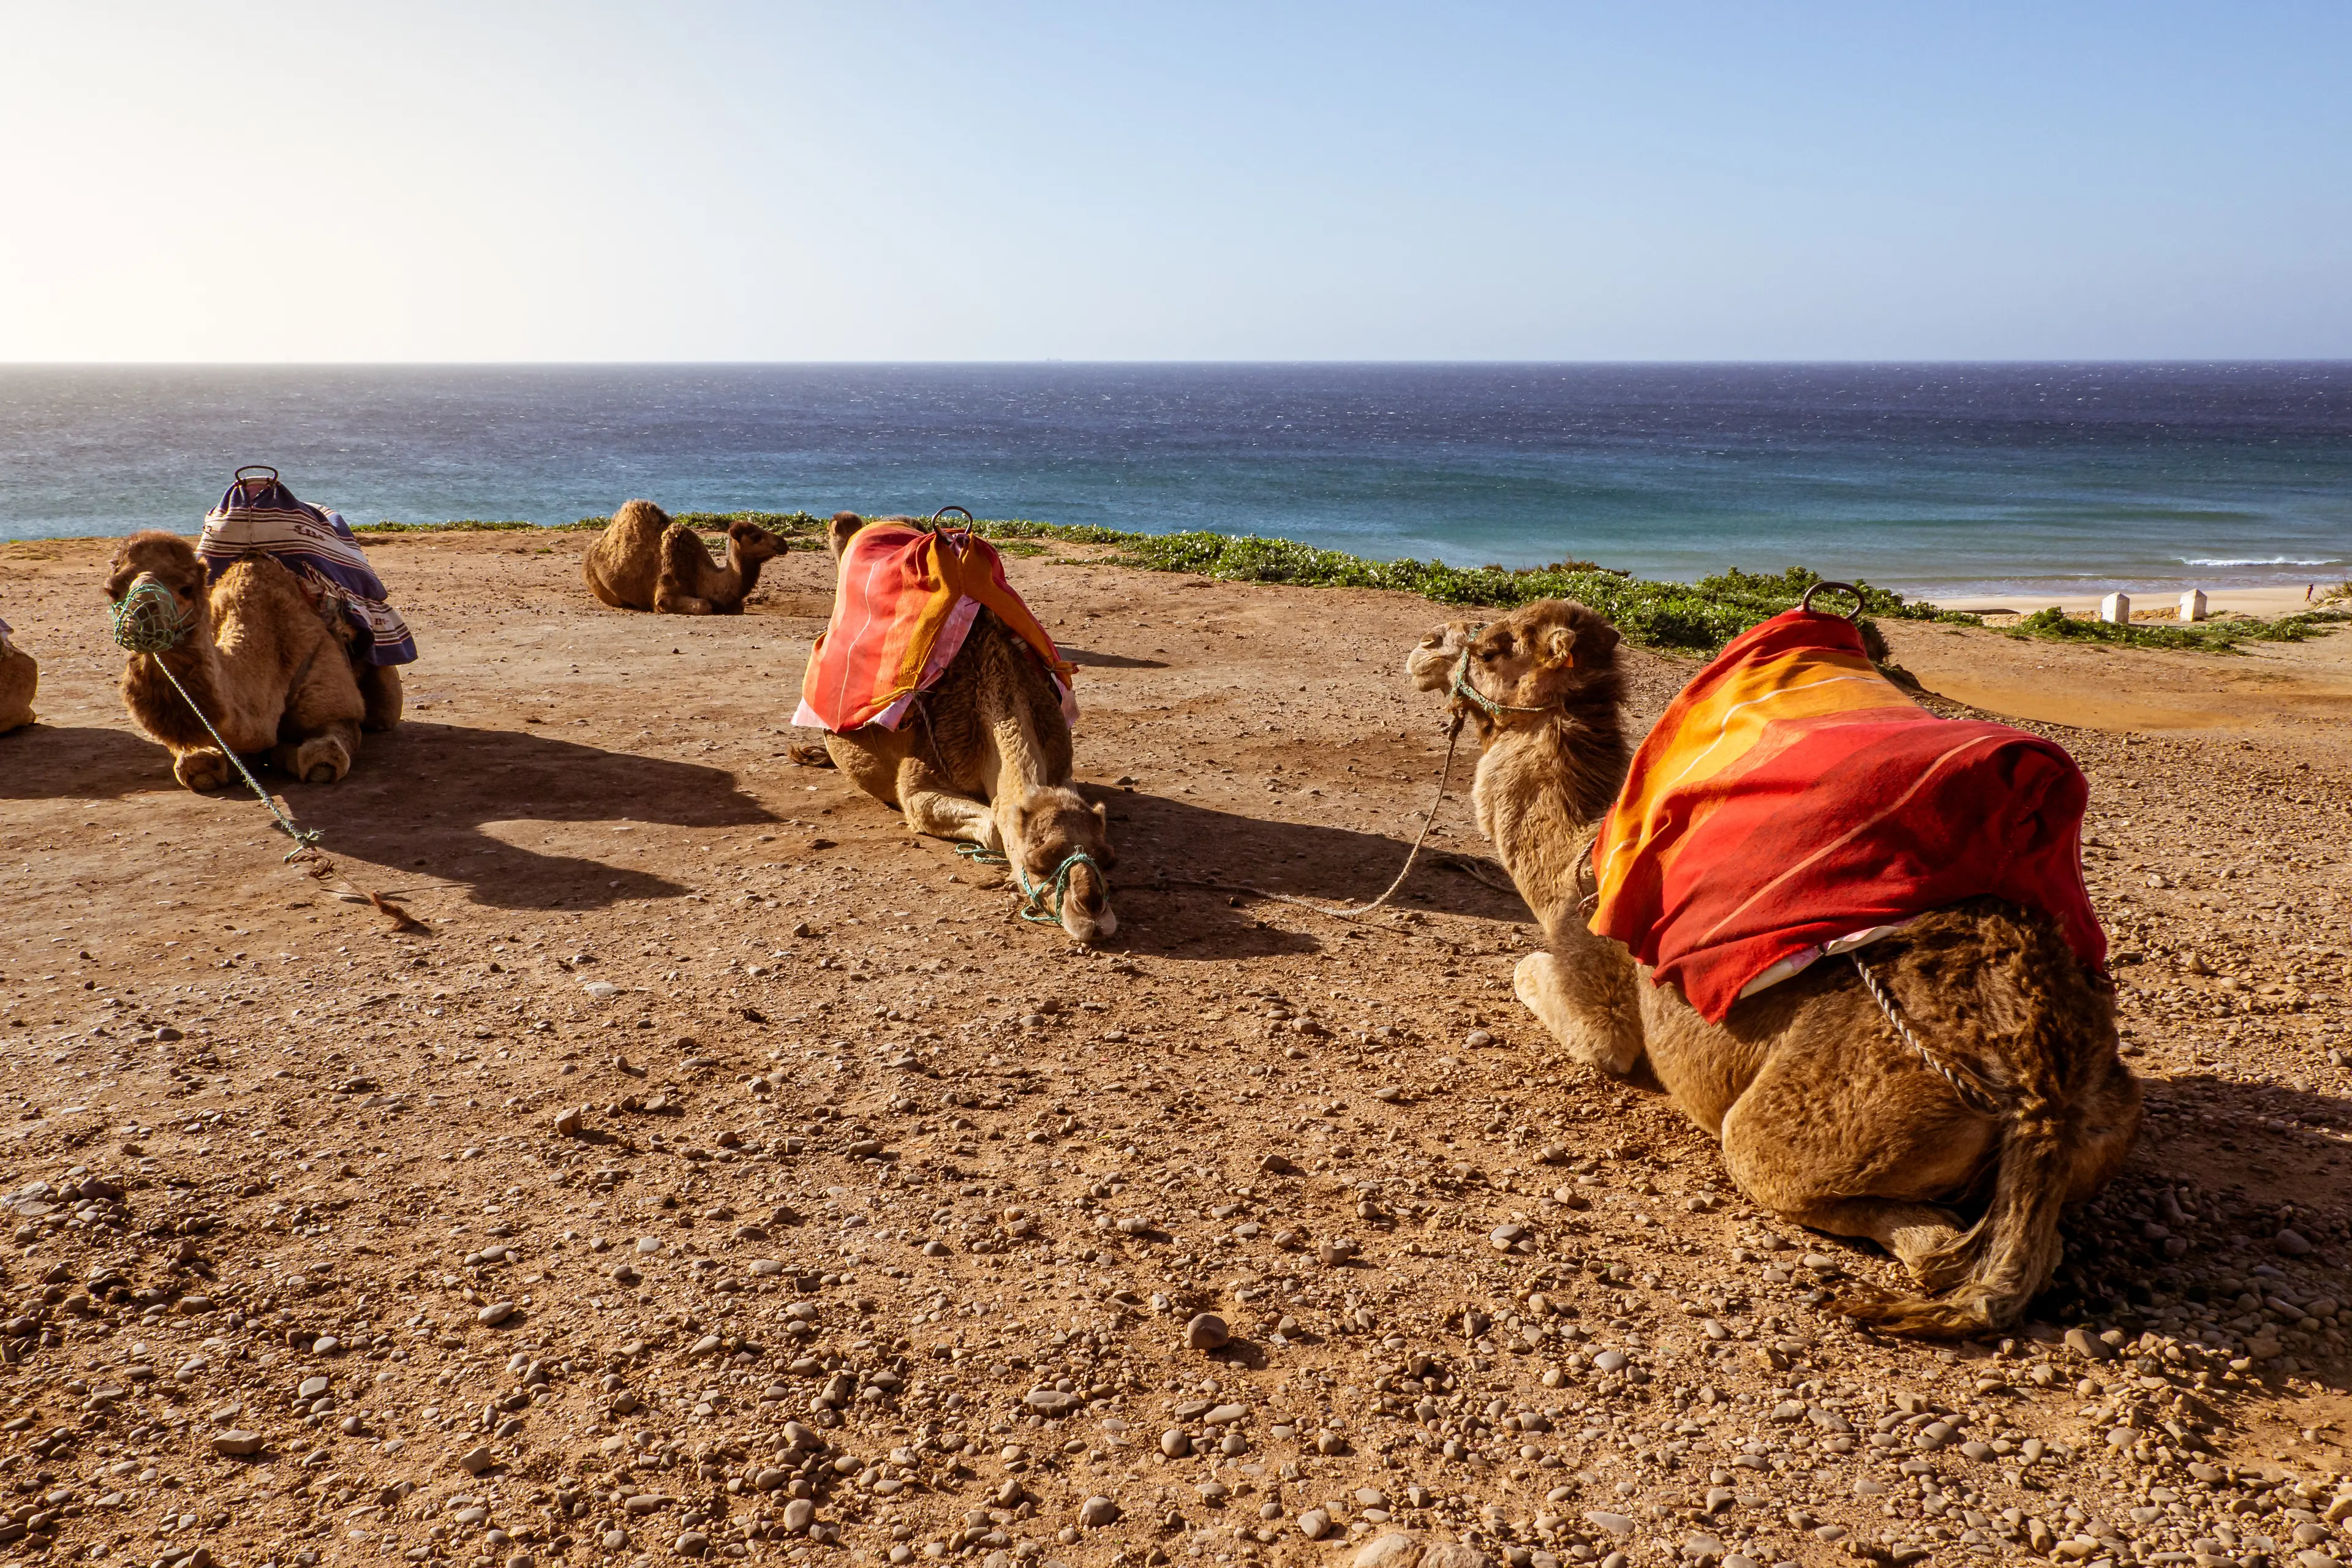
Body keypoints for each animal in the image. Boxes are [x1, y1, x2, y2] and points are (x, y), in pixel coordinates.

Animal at [107, 531, 395, 799]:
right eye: (113, 591)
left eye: (187, 587)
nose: (142, 618)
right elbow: (194, 764)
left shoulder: (338, 707)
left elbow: (324, 757)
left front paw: (286, 753)